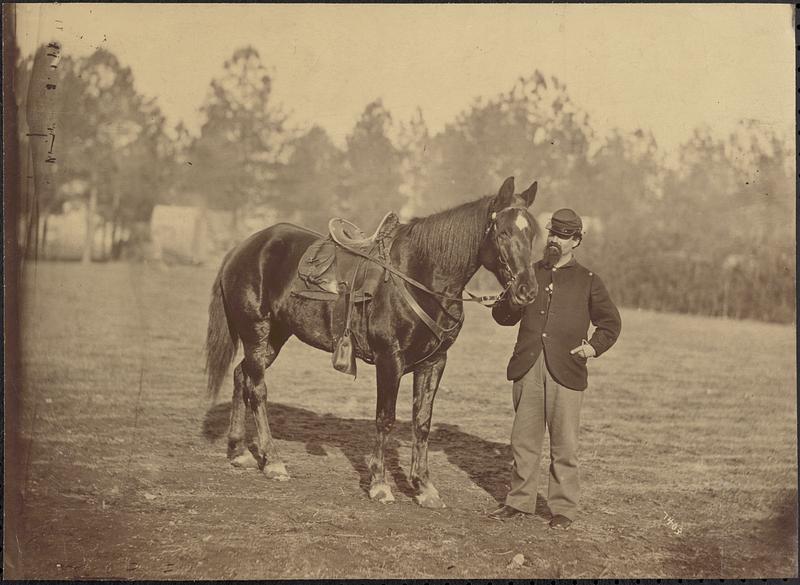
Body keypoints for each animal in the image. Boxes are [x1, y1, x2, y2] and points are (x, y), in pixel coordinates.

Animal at [205, 177, 544, 506]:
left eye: (532, 234)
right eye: (503, 232)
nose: (527, 291)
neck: (420, 275)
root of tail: (242, 248)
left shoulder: (434, 362)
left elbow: (422, 422)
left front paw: (424, 488)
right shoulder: (389, 359)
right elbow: (385, 418)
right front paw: (380, 485)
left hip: (274, 336)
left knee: (241, 376)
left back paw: (239, 451)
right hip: (257, 332)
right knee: (257, 390)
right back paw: (273, 462)